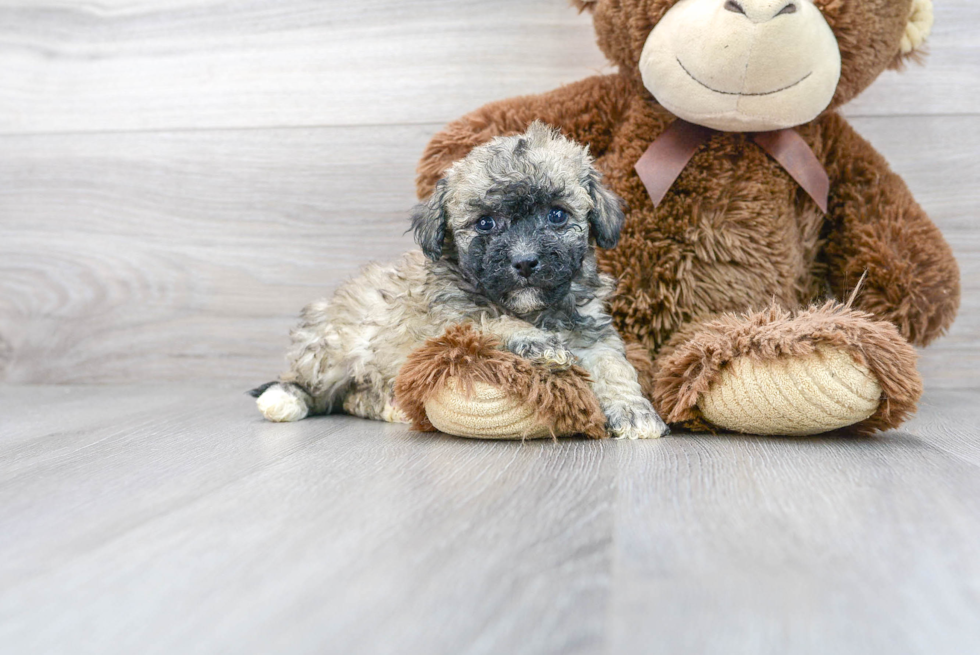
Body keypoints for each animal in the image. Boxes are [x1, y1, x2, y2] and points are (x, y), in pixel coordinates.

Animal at [251, 123, 668, 440]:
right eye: (485, 223)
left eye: (557, 215)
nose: (524, 262)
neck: (531, 308)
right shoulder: (450, 323)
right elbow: (491, 320)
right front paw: (536, 342)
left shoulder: (592, 332)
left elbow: (614, 367)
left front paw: (633, 411)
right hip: (328, 353)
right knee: (312, 387)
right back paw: (284, 399)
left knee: (354, 397)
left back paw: (389, 405)